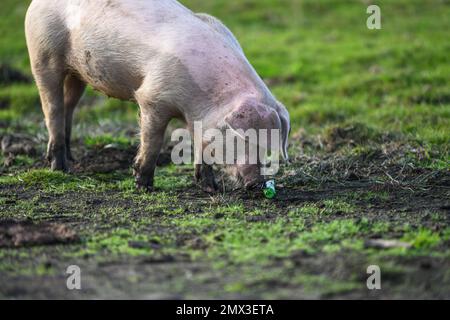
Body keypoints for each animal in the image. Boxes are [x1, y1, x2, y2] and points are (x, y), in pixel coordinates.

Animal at [25, 0, 292, 192]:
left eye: (269, 145)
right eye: (243, 139)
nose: (256, 182)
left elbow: (200, 147)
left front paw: (210, 189)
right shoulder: (153, 98)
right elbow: (152, 142)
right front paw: (143, 187)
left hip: (78, 73)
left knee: (69, 106)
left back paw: (71, 158)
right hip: (42, 54)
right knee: (52, 108)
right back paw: (60, 169)